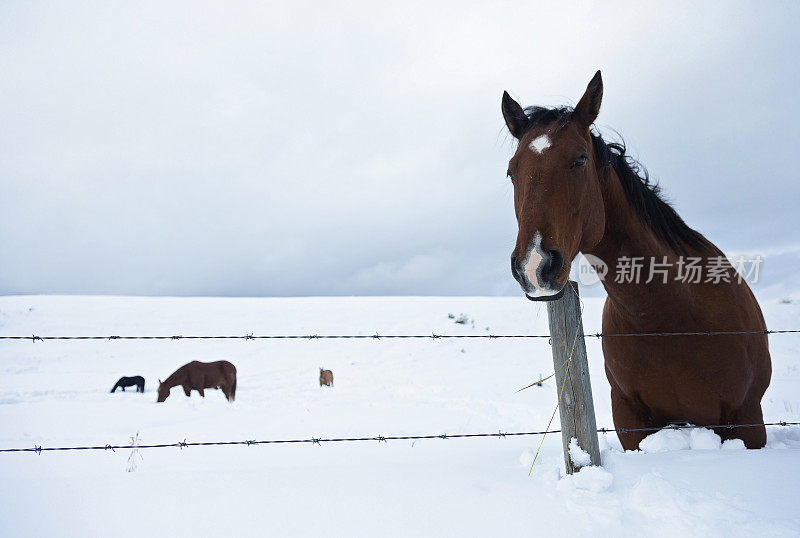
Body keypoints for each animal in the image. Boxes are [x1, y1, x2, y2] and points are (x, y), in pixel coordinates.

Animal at [504, 71, 772, 448]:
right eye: (512, 171)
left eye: (580, 159)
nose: (534, 264)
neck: (667, 315)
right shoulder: (630, 423)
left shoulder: (748, 421)